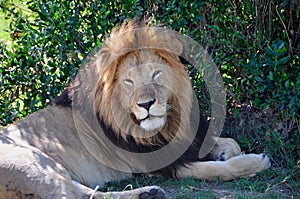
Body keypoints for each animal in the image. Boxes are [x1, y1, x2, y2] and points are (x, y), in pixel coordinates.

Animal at [0, 19, 270, 199]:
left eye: (156, 74)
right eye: (128, 82)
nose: (146, 104)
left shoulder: (184, 141)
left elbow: (229, 142)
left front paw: (225, 151)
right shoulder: (164, 164)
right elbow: (216, 170)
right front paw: (255, 162)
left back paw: (147, 193)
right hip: (37, 166)